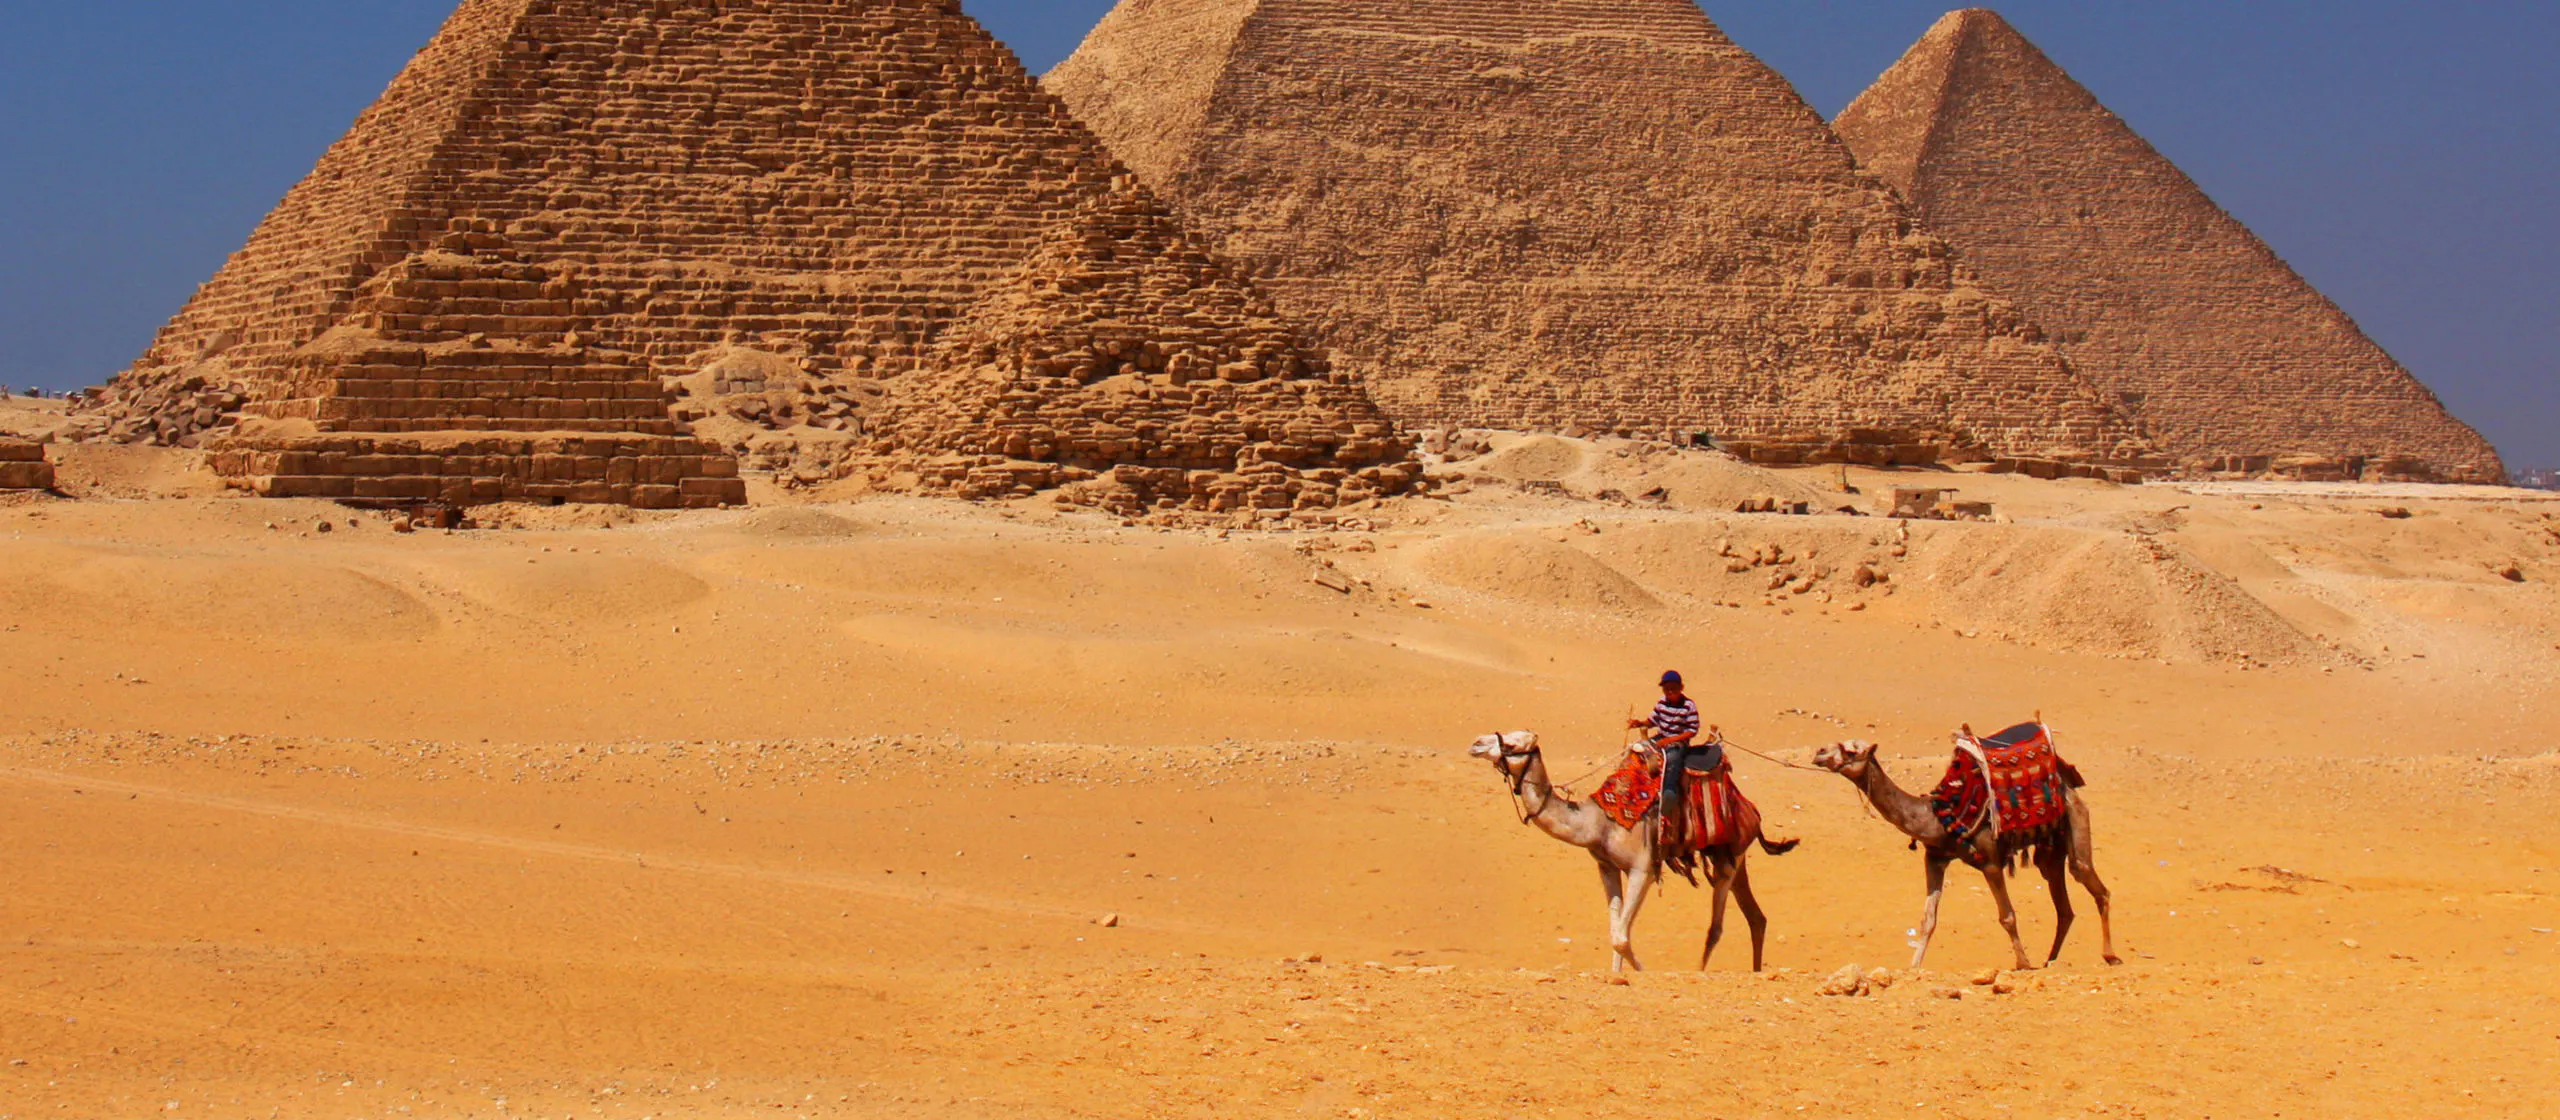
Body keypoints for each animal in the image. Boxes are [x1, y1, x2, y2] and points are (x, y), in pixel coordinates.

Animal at [1469, 731, 1798, 974]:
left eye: (1512, 744)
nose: (1476, 744)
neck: (1599, 821)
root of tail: (1752, 810)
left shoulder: (1643, 868)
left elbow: (1621, 937)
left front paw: (1642, 971)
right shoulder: (1607, 866)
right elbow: (1617, 929)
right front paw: (1618, 975)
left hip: (1728, 859)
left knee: (1716, 926)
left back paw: (1701, 970)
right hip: (1732, 856)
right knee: (1756, 918)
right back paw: (1755, 970)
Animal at [1810, 739, 2120, 970]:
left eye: (1850, 750)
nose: (1819, 753)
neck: (1936, 817)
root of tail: (2067, 783)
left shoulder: (1991, 862)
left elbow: (2007, 916)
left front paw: (2022, 963)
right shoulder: (1935, 859)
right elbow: (1928, 920)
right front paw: (1914, 968)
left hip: (2076, 817)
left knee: (2091, 880)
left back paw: (2110, 956)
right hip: (2050, 850)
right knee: (2062, 902)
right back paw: (2050, 960)